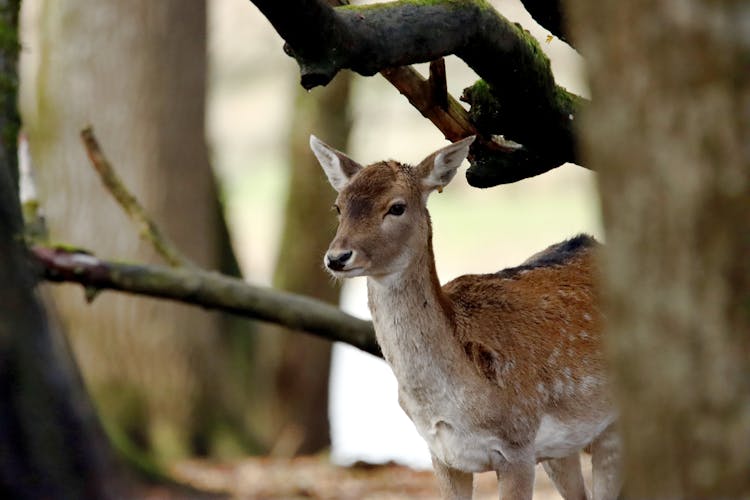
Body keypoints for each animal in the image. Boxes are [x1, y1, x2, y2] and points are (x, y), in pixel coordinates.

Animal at [312, 134, 624, 500]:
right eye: (338, 207)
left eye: (397, 206)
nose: (337, 257)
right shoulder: (443, 455)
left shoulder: (518, 445)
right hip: (562, 448)